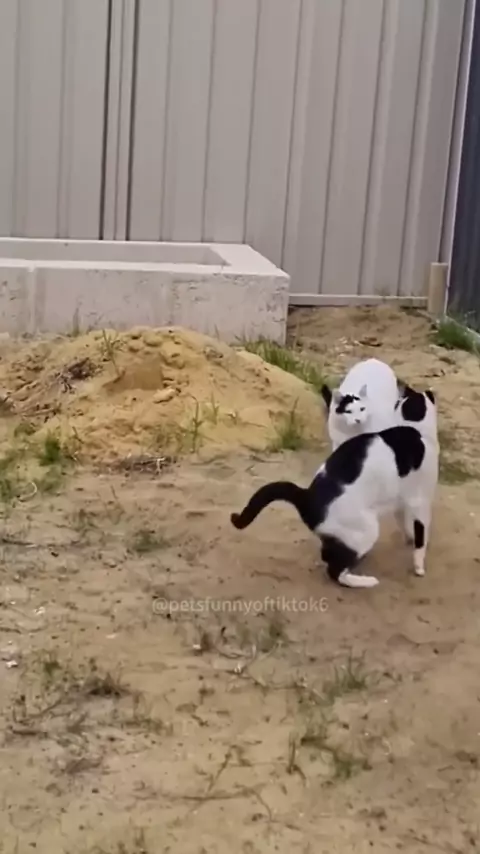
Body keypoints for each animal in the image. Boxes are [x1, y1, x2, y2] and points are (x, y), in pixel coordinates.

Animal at [231, 388, 438, 589]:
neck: (413, 427)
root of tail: (306, 496)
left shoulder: (401, 500)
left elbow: (404, 523)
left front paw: (409, 537)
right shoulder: (421, 500)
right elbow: (421, 537)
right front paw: (419, 566)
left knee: (328, 555)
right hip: (366, 530)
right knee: (334, 570)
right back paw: (363, 581)